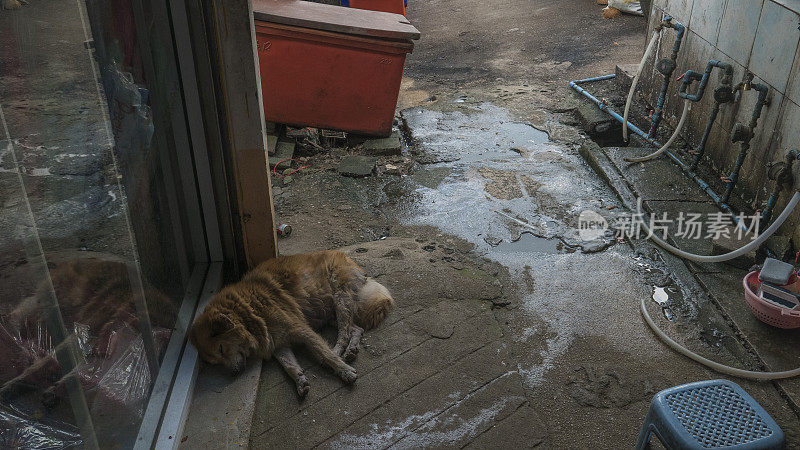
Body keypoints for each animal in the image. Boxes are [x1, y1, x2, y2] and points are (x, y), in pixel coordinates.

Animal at [188, 250, 394, 398]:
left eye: (221, 349)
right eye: (215, 362)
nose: (233, 374)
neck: (248, 312)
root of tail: (347, 257)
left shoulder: (300, 328)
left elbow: (323, 351)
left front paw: (344, 371)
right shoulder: (277, 342)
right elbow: (289, 365)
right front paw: (300, 381)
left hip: (340, 299)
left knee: (343, 334)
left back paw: (339, 351)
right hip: (327, 312)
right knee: (356, 329)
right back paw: (351, 350)